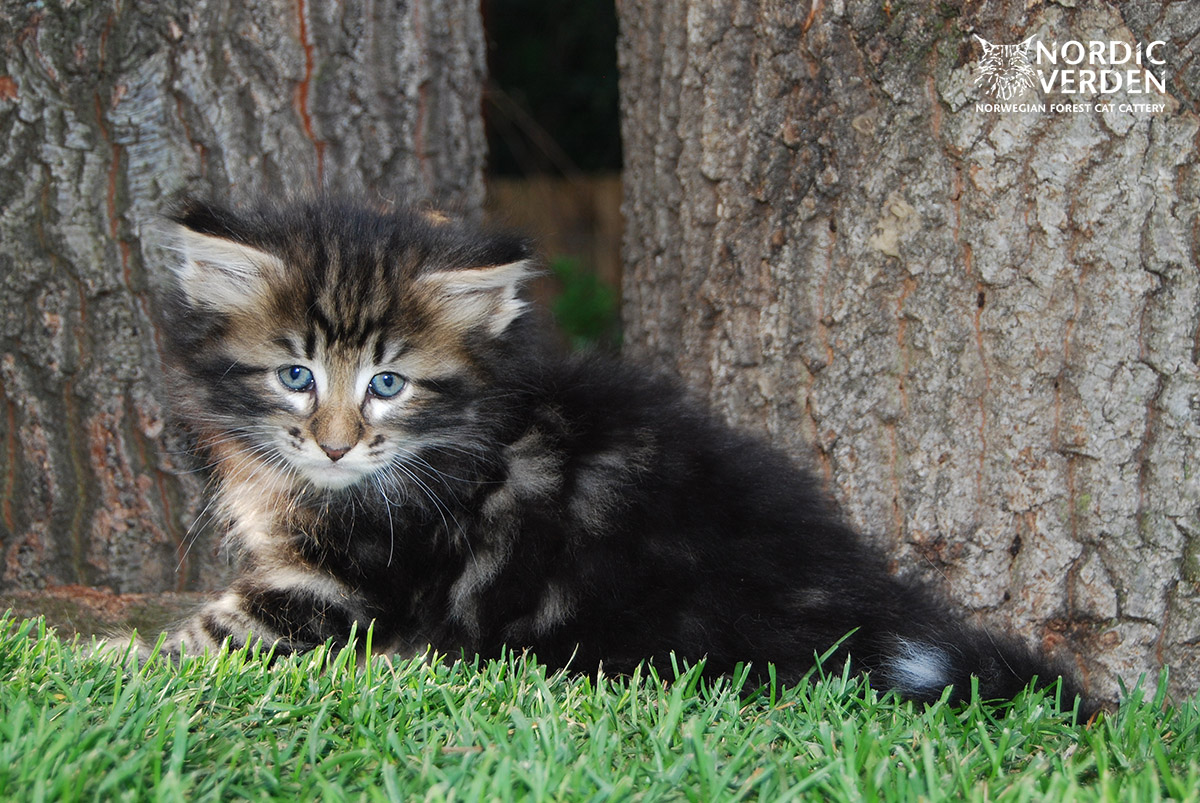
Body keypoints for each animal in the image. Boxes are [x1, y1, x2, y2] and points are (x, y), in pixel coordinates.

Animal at [138, 196, 1087, 713]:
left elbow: (212, 636)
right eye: (296, 375)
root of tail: (856, 607)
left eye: (388, 383)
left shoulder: (339, 578)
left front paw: (113, 662)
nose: (336, 445)